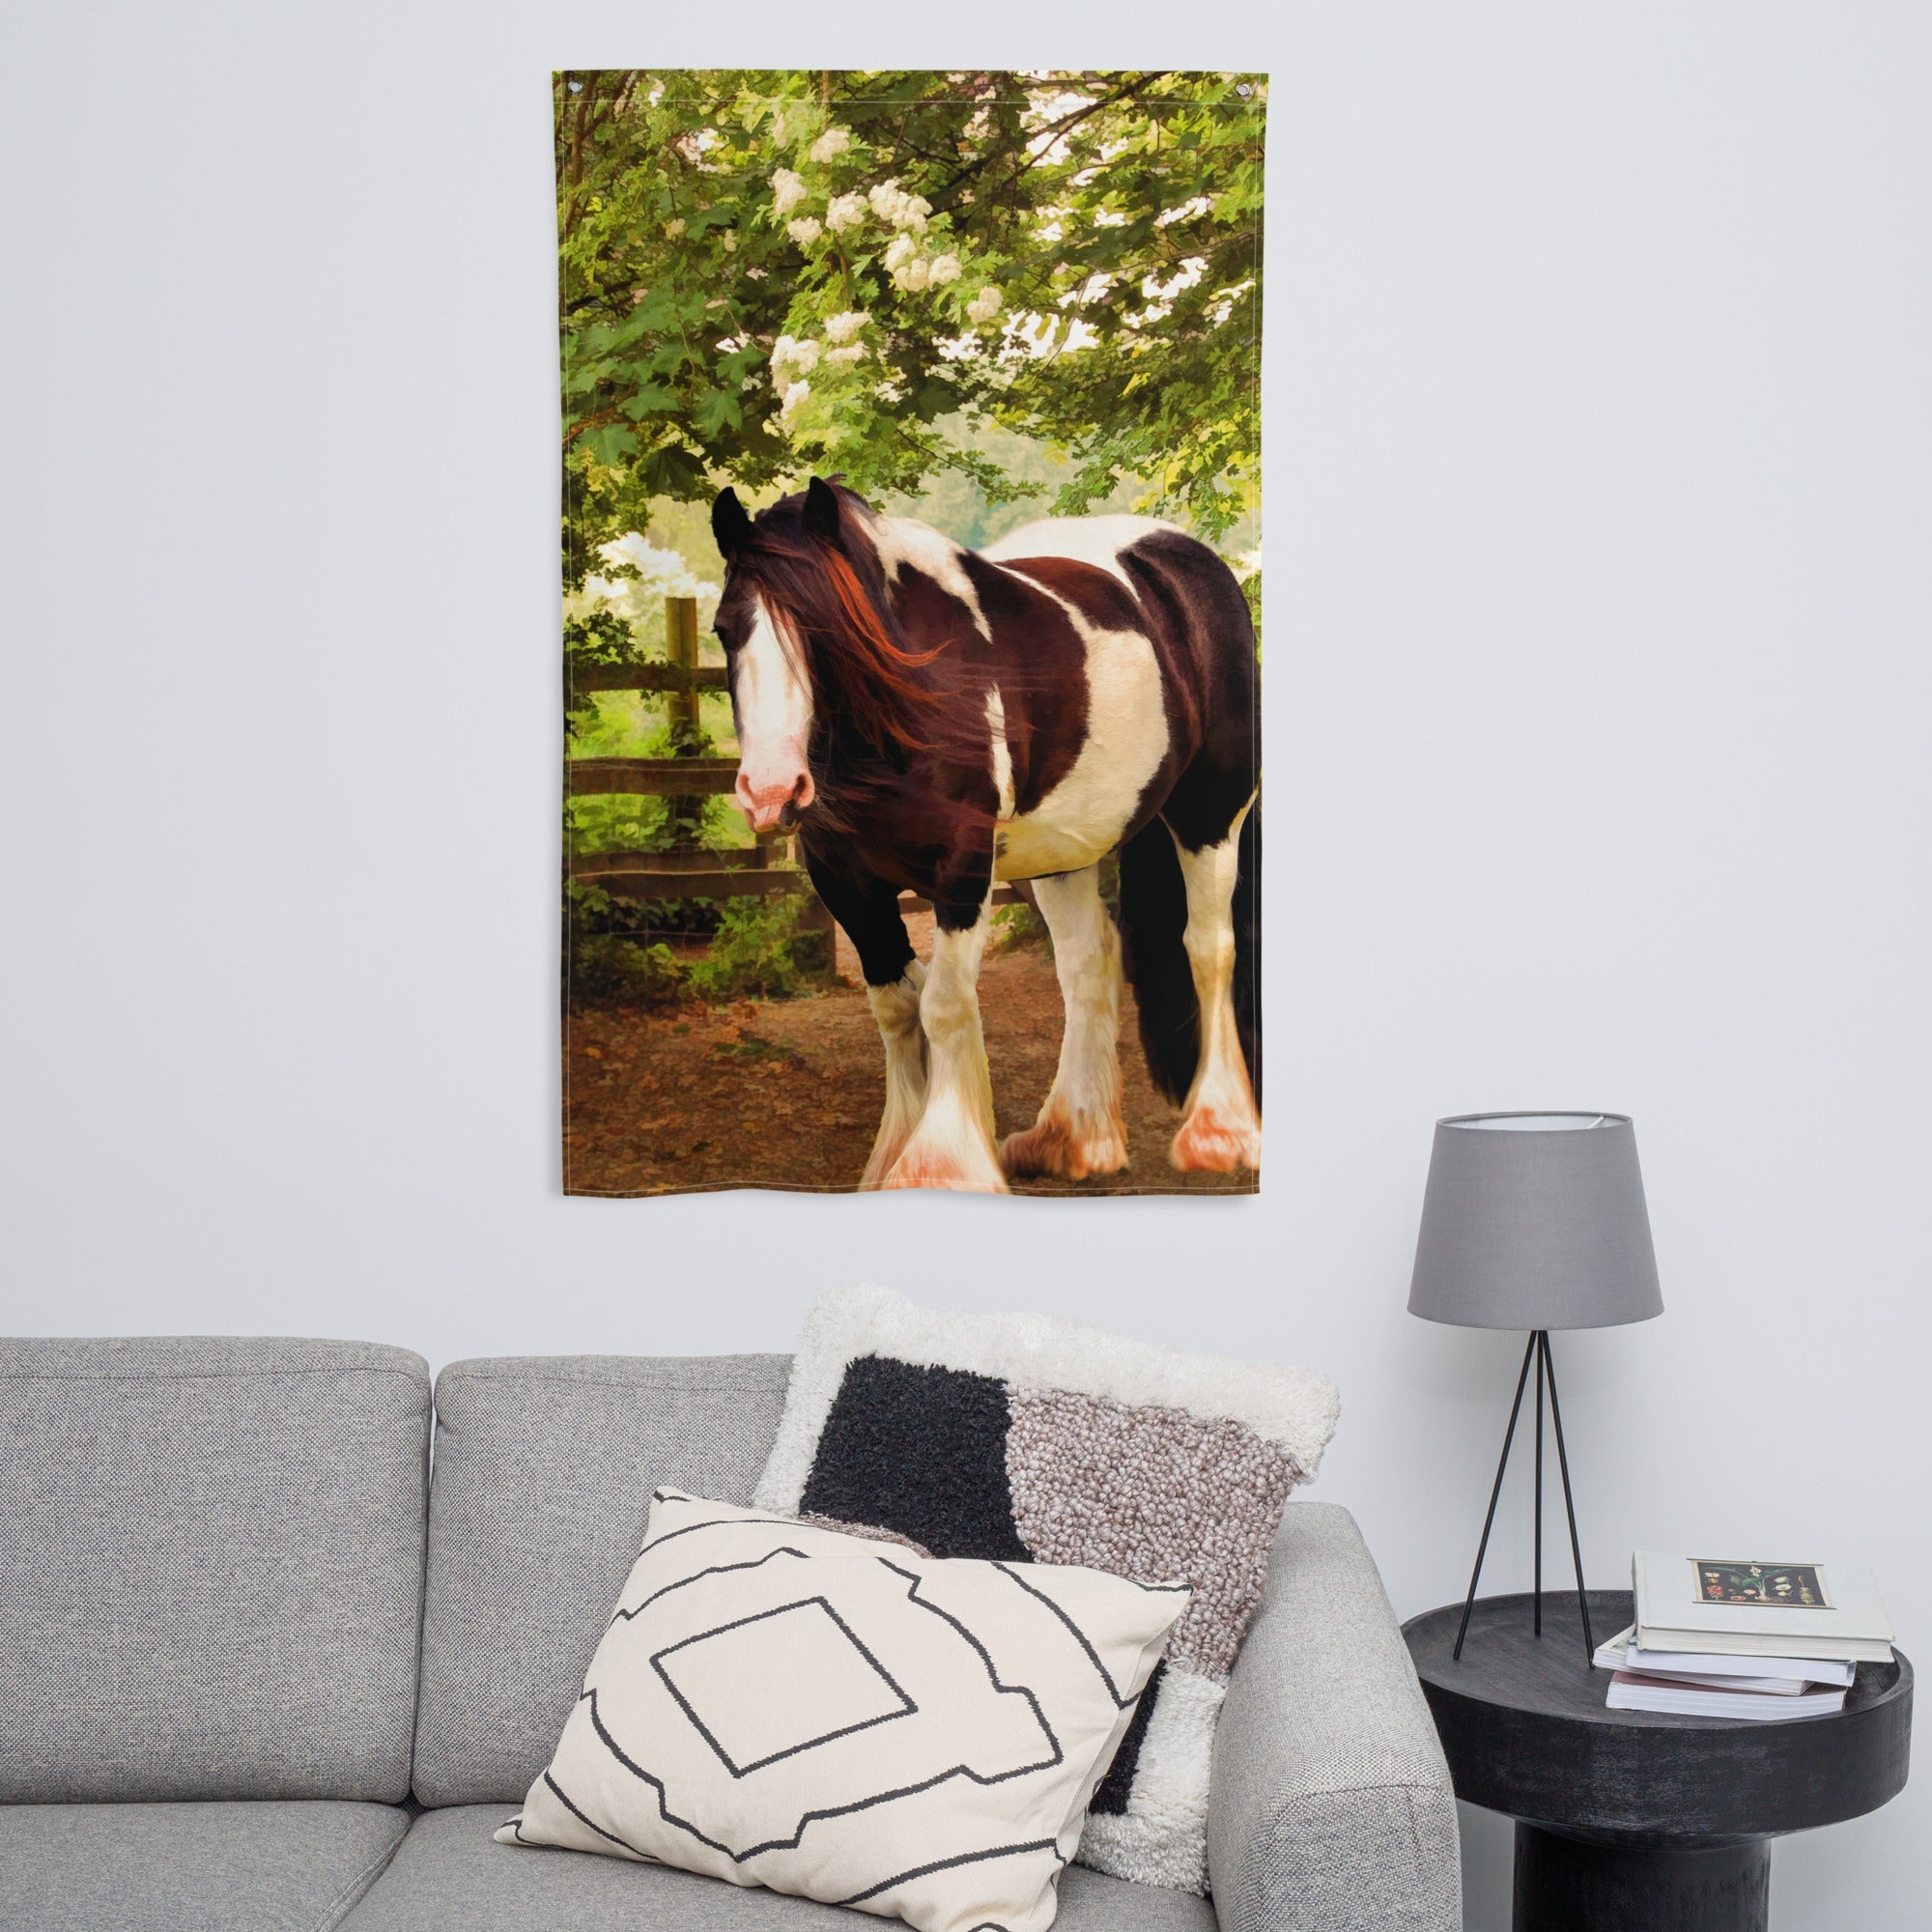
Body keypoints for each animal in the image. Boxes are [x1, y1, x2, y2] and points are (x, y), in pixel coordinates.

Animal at [709, 476, 1260, 1193]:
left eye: (823, 627)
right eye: (723, 629)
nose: (771, 790)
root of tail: (1188, 562)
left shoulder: (962, 868)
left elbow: (943, 1005)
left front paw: (939, 1166)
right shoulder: (845, 882)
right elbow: (896, 1009)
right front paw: (893, 1156)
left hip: (1211, 817)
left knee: (1209, 947)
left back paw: (1218, 1130)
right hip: (1065, 848)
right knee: (1089, 959)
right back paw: (1073, 1139)